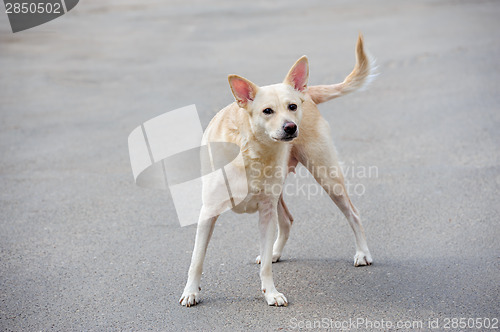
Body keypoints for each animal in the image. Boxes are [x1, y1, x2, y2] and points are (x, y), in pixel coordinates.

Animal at [180, 33, 376, 306]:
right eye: (267, 111)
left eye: (291, 107)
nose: (291, 127)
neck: (251, 151)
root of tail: (308, 93)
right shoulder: (208, 212)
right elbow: (196, 260)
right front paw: (191, 292)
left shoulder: (265, 213)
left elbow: (265, 269)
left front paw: (270, 293)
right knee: (287, 220)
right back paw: (274, 252)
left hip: (327, 176)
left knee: (353, 213)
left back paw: (362, 253)